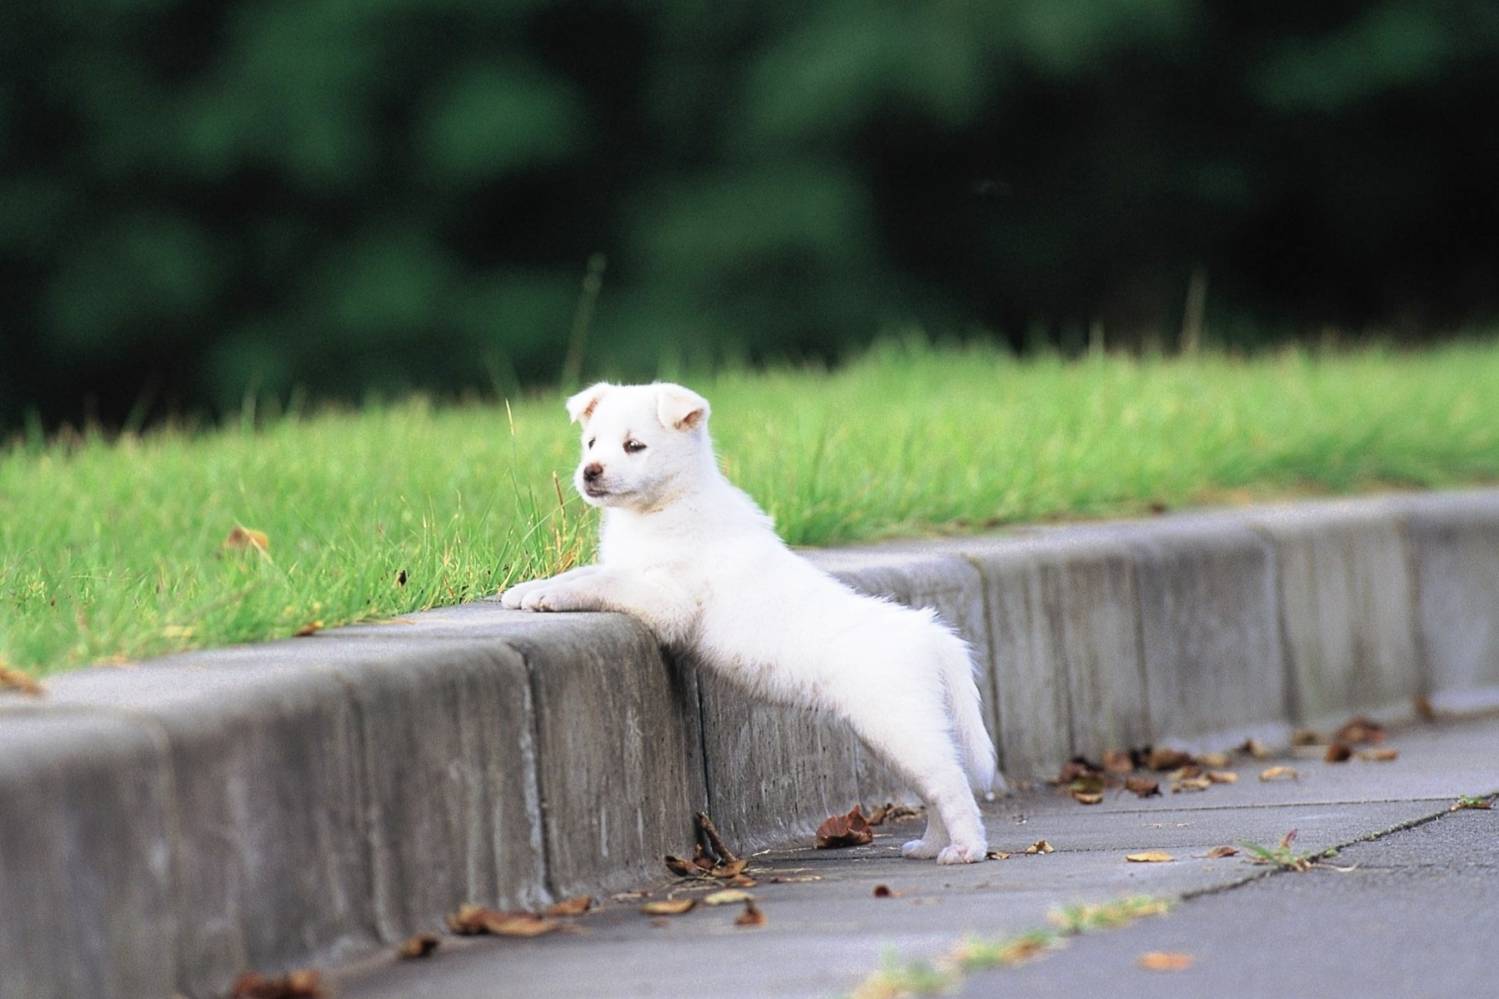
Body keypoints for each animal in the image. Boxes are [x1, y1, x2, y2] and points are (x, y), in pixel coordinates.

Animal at [500, 379, 995, 858]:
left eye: (634, 445)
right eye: (591, 443)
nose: (590, 471)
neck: (667, 505)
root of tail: (927, 631)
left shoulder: (665, 599)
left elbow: (603, 583)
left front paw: (548, 595)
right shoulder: (633, 569)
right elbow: (588, 572)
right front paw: (526, 589)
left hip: (902, 725)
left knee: (952, 783)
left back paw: (965, 849)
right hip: (891, 735)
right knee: (932, 789)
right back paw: (929, 846)